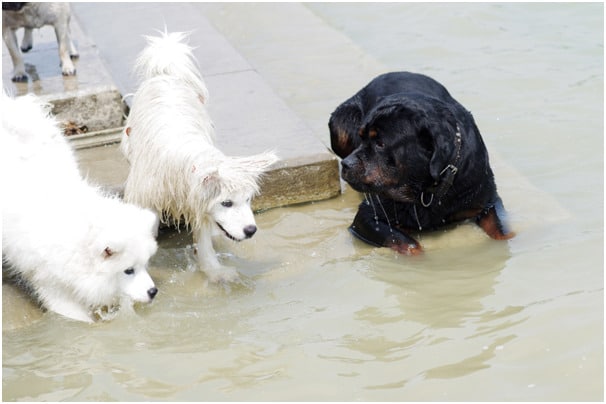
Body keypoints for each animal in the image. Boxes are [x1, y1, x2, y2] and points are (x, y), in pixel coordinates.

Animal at [123, 31, 278, 282]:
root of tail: (166, 73)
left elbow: (204, 241)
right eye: (226, 202)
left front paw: (215, 271)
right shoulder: (147, 196)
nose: (251, 230)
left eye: (248, 199)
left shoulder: (198, 203)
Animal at [330, 71, 516, 254]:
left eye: (380, 143)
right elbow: (409, 244)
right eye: (361, 137)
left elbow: (501, 230)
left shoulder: (487, 201)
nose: (346, 164)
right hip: (341, 122)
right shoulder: (367, 216)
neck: (426, 189)